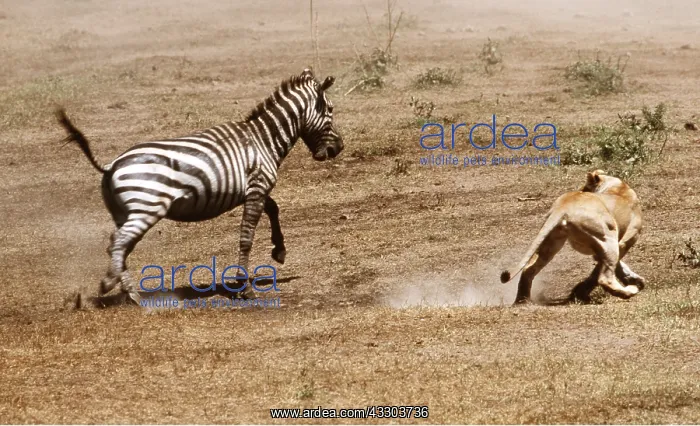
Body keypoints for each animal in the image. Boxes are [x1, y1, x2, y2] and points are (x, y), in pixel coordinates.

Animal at [56, 68, 344, 304]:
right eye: (330, 110)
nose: (338, 148)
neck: (264, 140)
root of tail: (112, 165)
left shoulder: (255, 189)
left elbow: (274, 209)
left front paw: (279, 251)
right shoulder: (257, 188)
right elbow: (247, 236)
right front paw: (244, 287)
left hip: (124, 212)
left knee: (119, 245)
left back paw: (131, 293)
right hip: (147, 208)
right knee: (117, 244)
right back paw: (113, 285)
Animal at [500, 170, 646, 305]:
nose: (581, 190)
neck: (617, 186)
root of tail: (563, 207)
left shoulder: (604, 249)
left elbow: (614, 266)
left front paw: (634, 279)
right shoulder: (624, 242)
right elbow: (597, 272)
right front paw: (580, 292)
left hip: (551, 243)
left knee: (528, 269)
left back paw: (522, 300)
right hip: (607, 238)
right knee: (605, 278)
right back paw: (629, 291)